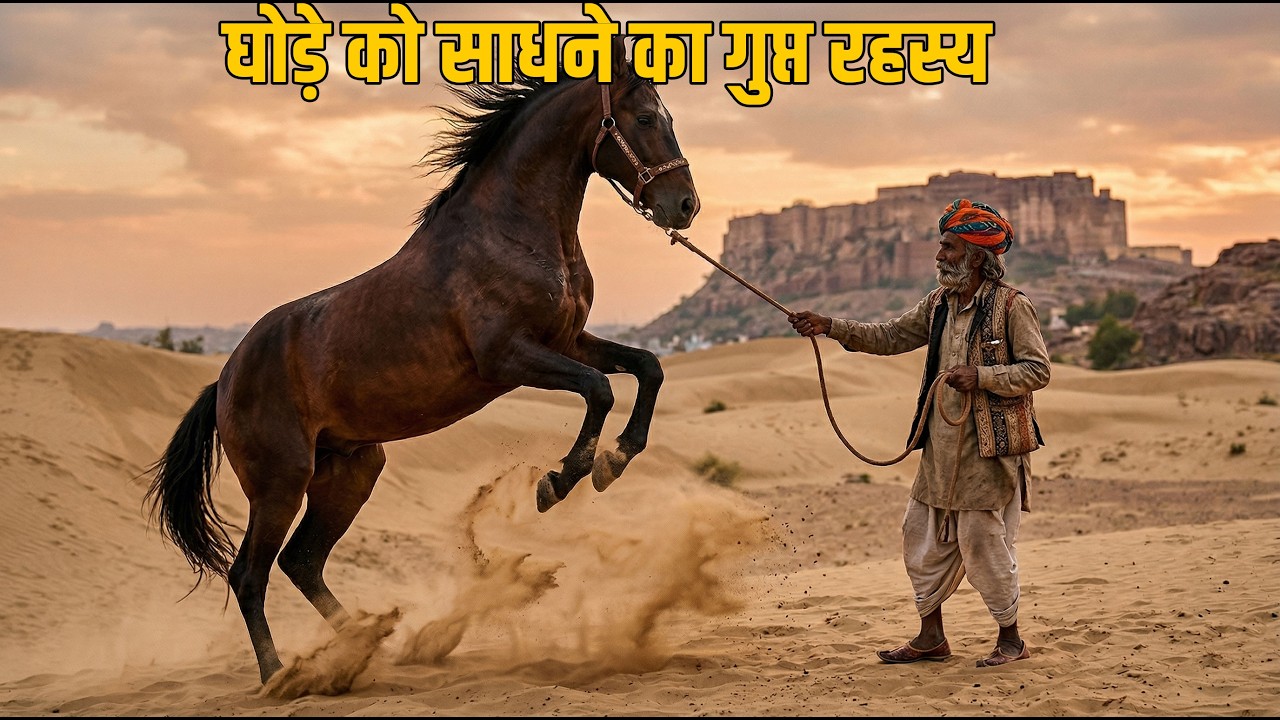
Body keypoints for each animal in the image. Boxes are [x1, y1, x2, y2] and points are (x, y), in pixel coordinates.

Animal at [144, 36, 700, 685]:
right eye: (645, 119)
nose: (684, 205)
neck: (509, 232)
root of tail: (224, 381)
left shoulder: (567, 340)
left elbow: (647, 367)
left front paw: (615, 460)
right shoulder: (509, 358)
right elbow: (600, 389)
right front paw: (560, 481)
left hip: (351, 471)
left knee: (302, 562)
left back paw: (373, 646)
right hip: (280, 482)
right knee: (250, 575)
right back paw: (282, 677)